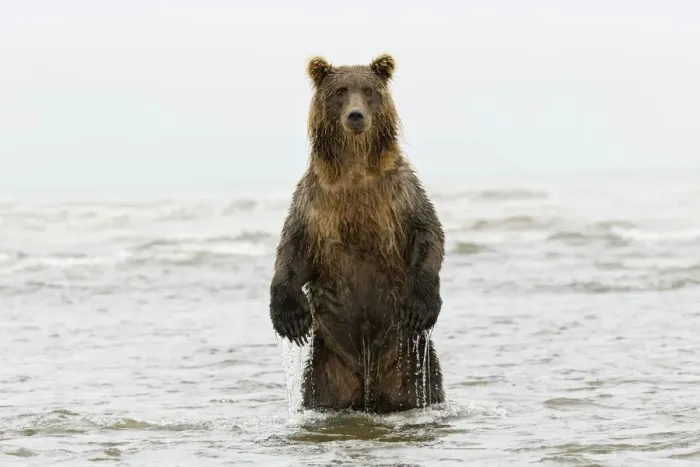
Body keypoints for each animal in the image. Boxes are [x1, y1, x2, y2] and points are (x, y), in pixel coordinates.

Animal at [269, 54, 446, 414]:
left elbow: (428, 233)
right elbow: (293, 249)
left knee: (426, 387)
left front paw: (421, 307)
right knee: (321, 394)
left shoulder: (400, 194)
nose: (355, 115)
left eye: (368, 90)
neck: (355, 168)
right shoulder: (314, 202)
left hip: (411, 365)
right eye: (339, 91)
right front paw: (290, 318)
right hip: (325, 371)